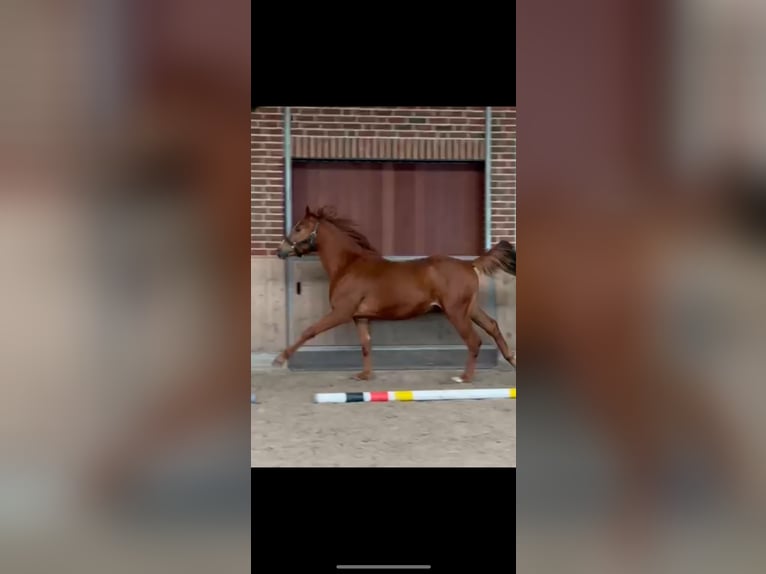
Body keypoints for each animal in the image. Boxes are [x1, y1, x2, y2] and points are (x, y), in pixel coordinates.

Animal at [273, 205, 516, 382]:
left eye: (299, 227)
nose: (279, 251)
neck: (348, 265)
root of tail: (469, 264)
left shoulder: (341, 312)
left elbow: (310, 331)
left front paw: (280, 359)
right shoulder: (360, 317)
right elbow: (366, 345)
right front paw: (364, 375)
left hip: (456, 312)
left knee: (474, 340)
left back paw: (464, 377)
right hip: (470, 309)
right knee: (492, 326)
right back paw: (511, 359)